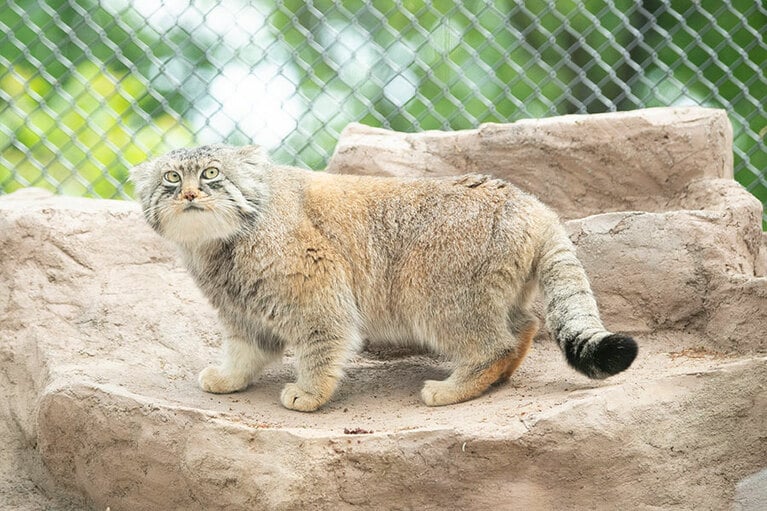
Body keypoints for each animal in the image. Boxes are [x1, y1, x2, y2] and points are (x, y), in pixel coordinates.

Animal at [132, 144, 636, 412]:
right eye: (171, 178)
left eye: (211, 173)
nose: (189, 194)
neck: (222, 247)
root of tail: (533, 204)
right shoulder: (244, 312)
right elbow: (244, 352)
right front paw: (229, 378)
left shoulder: (319, 292)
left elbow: (320, 347)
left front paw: (310, 393)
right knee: (524, 328)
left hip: (435, 295)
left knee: (495, 344)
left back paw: (452, 388)